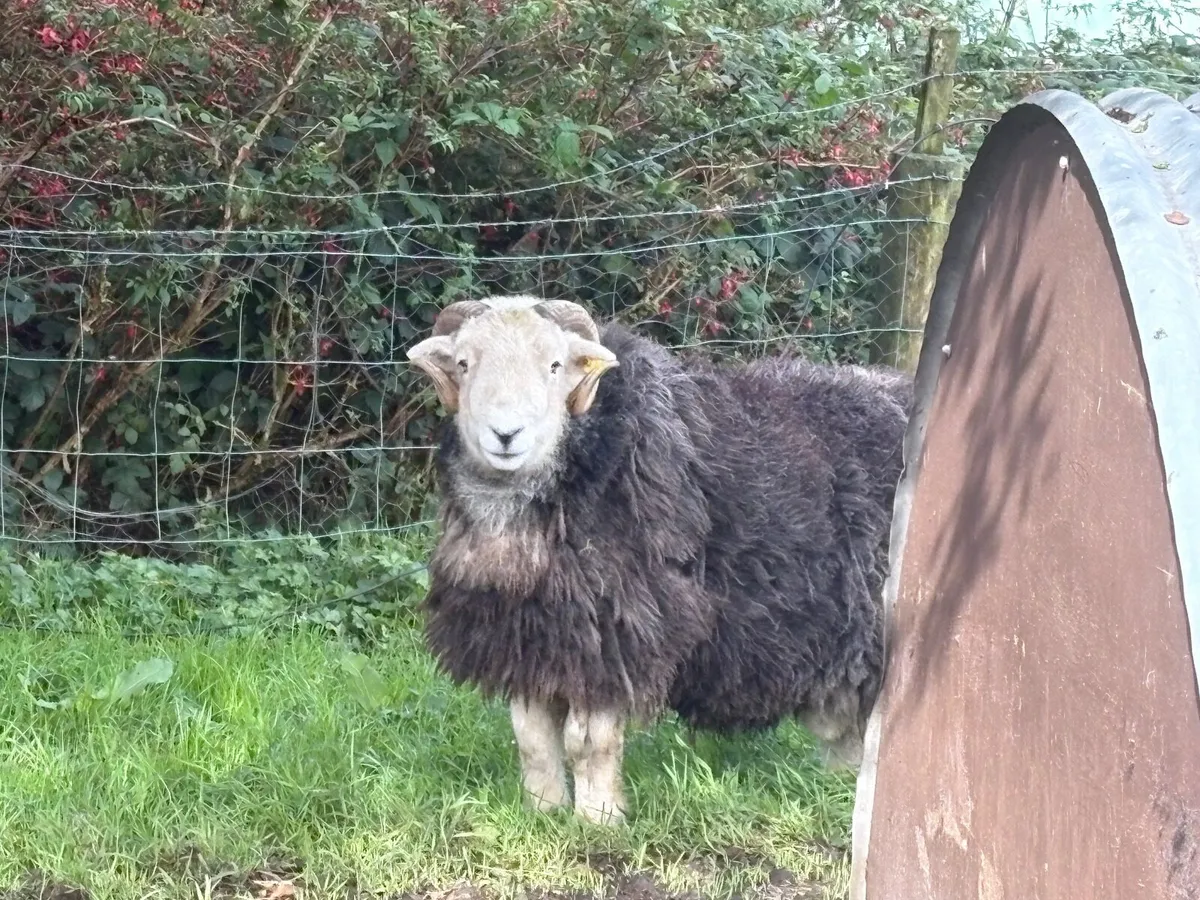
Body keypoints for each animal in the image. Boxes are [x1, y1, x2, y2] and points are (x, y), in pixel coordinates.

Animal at [405, 294, 911, 825]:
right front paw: (543, 813)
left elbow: (589, 743)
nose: (506, 435)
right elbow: (533, 741)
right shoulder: (530, 637)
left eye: (555, 365)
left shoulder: (614, 637)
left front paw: (599, 820)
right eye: (464, 363)